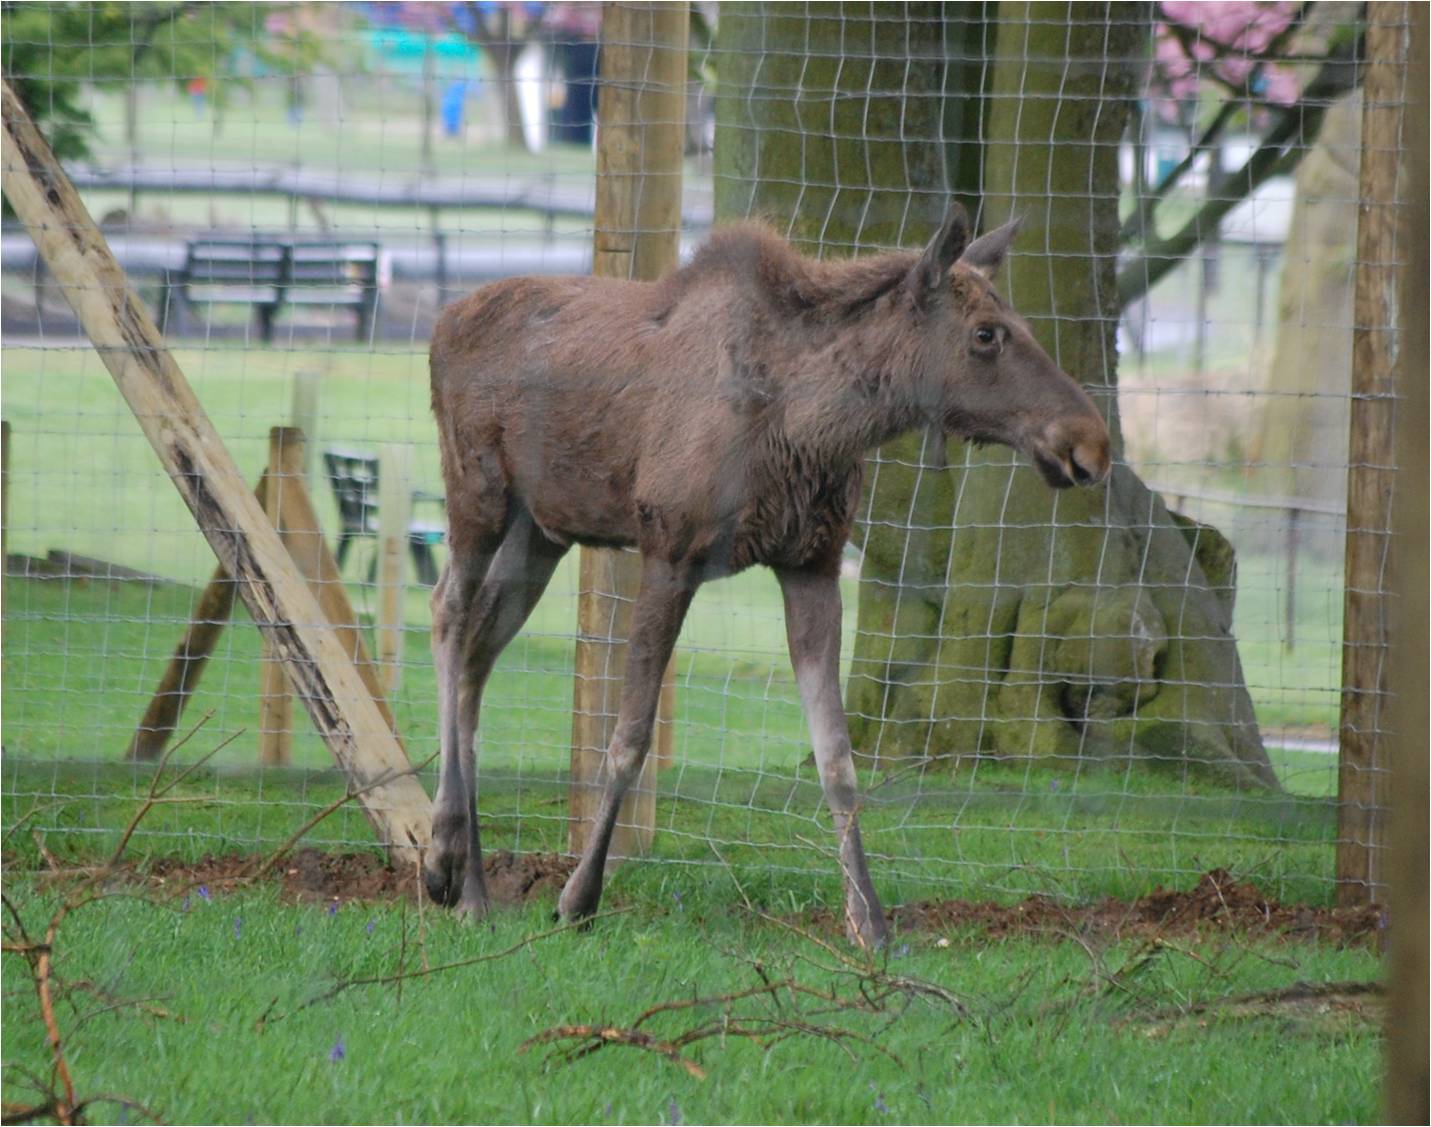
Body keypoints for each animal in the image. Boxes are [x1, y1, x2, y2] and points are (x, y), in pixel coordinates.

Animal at [424, 202, 1111, 949]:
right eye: (986, 333)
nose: (1091, 443)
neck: (812, 426)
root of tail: (439, 324)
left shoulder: (811, 564)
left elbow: (837, 758)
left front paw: (868, 922)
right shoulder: (668, 550)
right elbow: (628, 738)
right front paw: (579, 896)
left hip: (541, 529)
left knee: (479, 650)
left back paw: (473, 888)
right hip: (477, 495)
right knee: (447, 613)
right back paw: (441, 859)